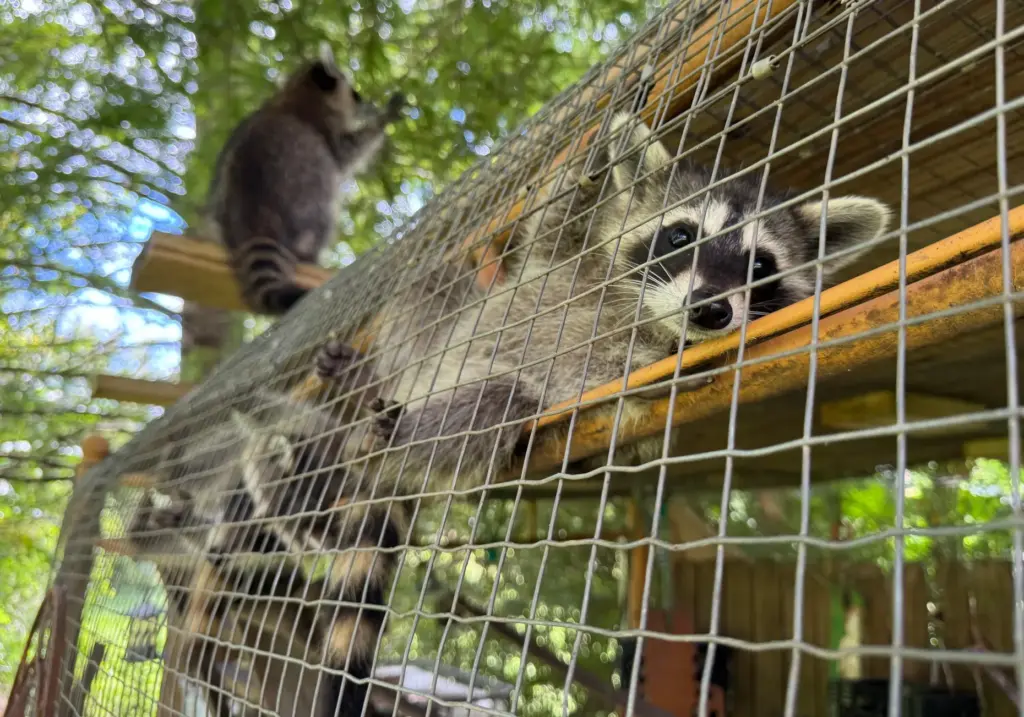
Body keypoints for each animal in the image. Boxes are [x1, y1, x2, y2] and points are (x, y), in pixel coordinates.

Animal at [207, 42, 405, 315]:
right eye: (355, 95)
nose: (369, 104)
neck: (298, 92)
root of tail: (256, 220)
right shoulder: (326, 131)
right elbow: (350, 152)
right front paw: (381, 121)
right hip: (306, 199)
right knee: (324, 211)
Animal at [316, 111, 891, 490]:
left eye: (759, 267)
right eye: (680, 236)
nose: (711, 309)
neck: (642, 315)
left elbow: (626, 408)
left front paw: (672, 362)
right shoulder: (563, 263)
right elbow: (551, 229)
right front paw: (590, 162)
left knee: (490, 407)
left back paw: (395, 430)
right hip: (431, 338)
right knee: (429, 287)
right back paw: (360, 379)